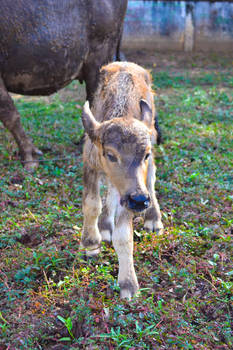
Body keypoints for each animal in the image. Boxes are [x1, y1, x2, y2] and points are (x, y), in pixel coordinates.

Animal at [81, 62, 163, 298]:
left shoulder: (131, 194)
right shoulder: (90, 166)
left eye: (145, 154)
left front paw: (128, 284)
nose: (140, 201)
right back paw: (104, 225)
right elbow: (91, 205)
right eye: (110, 155)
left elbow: (123, 236)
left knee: (151, 180)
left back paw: (153, 219)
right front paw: (91, 243)